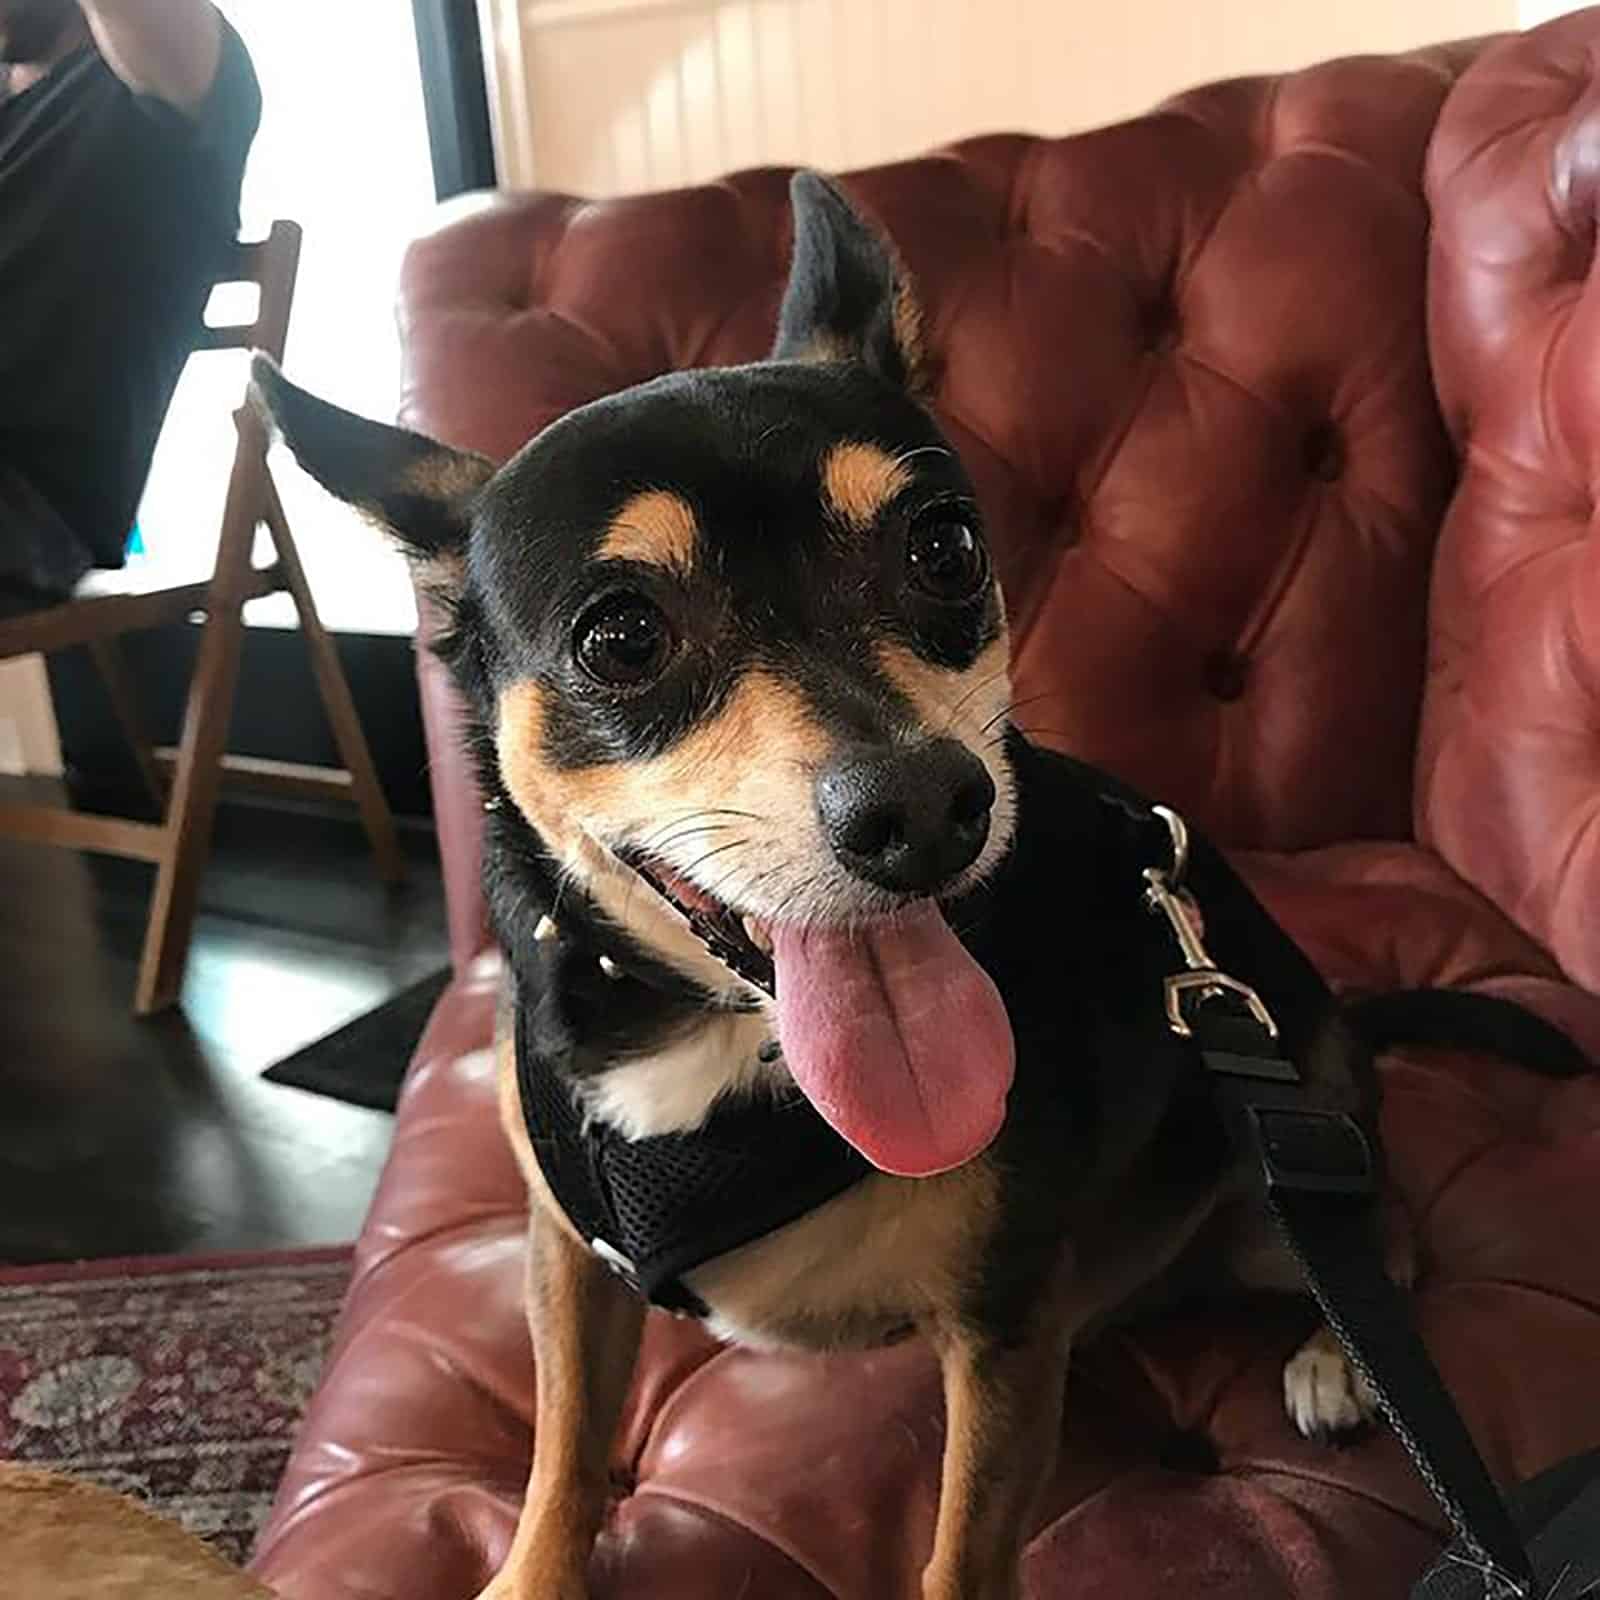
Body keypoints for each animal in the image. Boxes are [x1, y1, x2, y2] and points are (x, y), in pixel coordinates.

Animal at [252, 172, 1587, 1600]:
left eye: (944, 551)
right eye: (620, 637)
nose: (926, 811)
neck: (720, 1044)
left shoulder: (1000, 1329)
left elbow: (959, 1554)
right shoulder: (566, 1257)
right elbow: (561, 1444)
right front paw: (532, 1571)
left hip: (1293, 1132)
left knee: (1377, 1228)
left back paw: (1341, 1352)